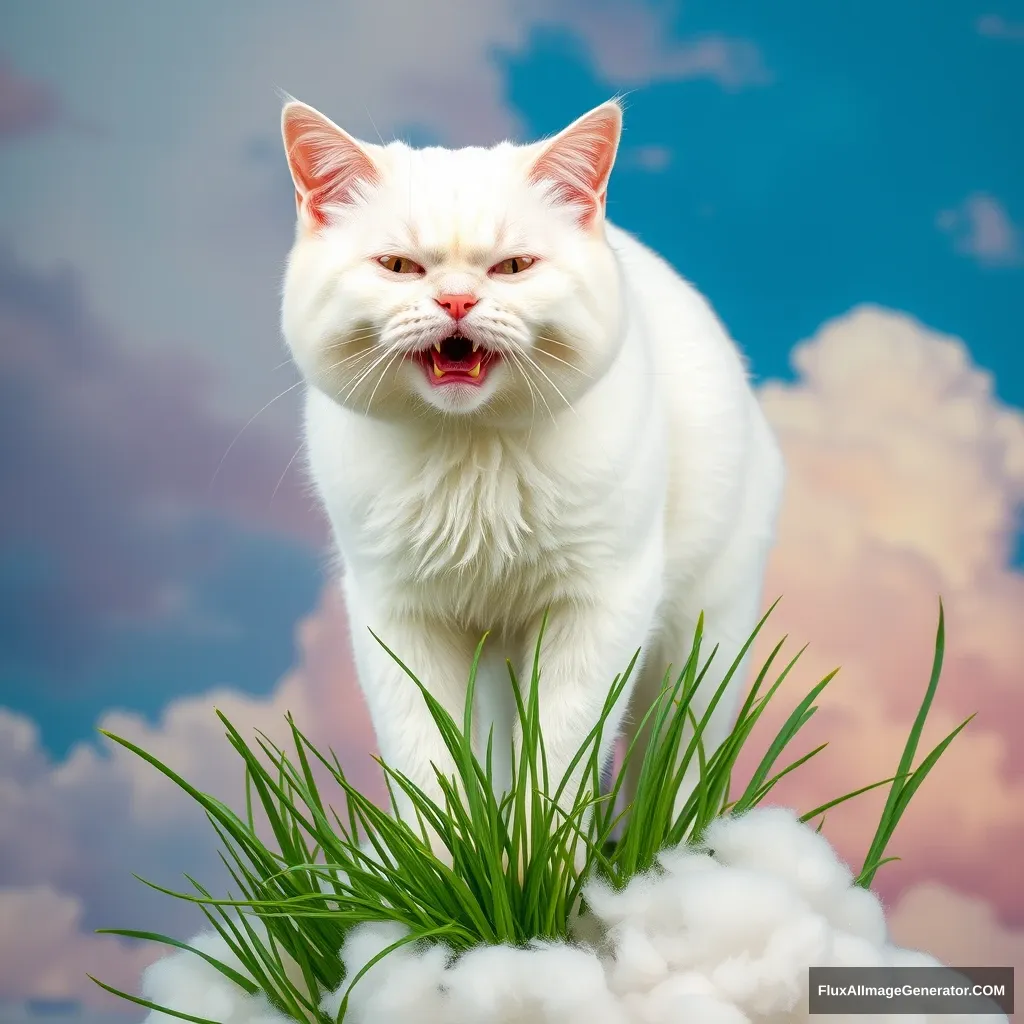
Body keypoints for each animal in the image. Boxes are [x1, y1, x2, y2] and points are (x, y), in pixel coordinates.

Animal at [280, 96, 782, 843]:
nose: (456, 301)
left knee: (677, 758)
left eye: (513, 266)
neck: (471, 455)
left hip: (705, 634)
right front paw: (453, 864)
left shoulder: (602, 602)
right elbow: (428, 765)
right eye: (399, 265)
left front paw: (539, 860)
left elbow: (560, 758)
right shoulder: (397, 615)